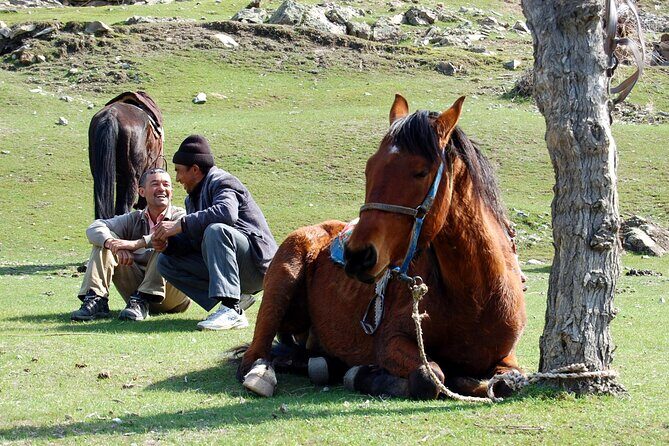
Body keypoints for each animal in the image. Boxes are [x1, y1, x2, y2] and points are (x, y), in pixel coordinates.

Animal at [238, 94, 527, 400]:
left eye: (421, 172)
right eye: (369, 167)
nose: (358, 256)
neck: (475, 295)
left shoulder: (506, 357)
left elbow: (507, 382)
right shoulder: (390, 342)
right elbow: (430, 375)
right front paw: (365, 376)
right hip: (281, 281)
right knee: (255, 353)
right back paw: (261, 374)